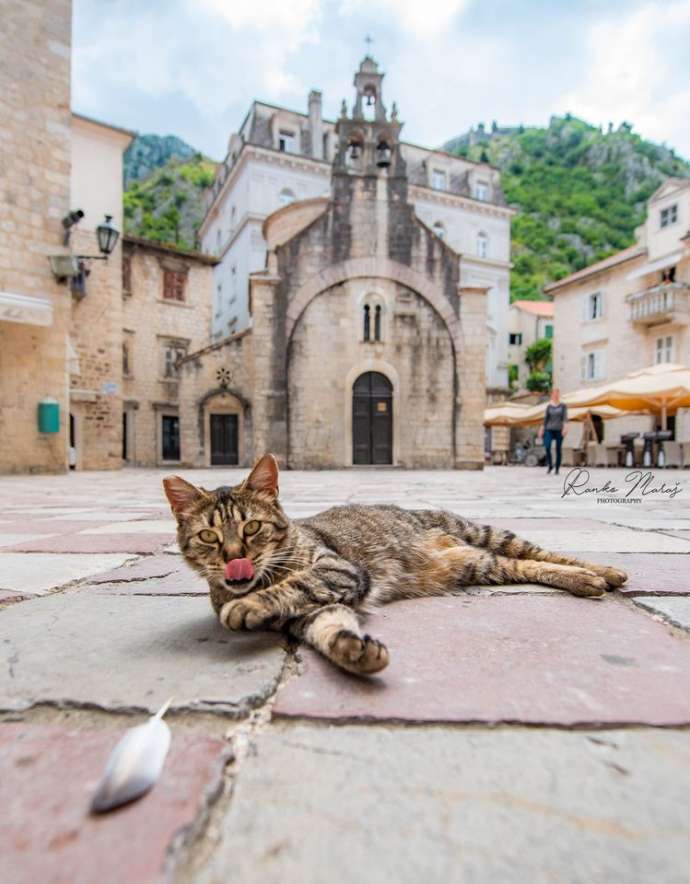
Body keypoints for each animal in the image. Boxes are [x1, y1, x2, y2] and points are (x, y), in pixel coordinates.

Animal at [164, 456, 628, 676]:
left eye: (253, 527)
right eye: (209, 537)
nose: (233, 559)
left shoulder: (338, 570)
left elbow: (295, 584)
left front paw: (246, 605)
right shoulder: (310, 614)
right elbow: (328, 626)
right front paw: (353, 650)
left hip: (482, 532)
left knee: (544, 553)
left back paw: (602, 572)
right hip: (482, 563)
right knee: (525, 566)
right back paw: (588, 580)